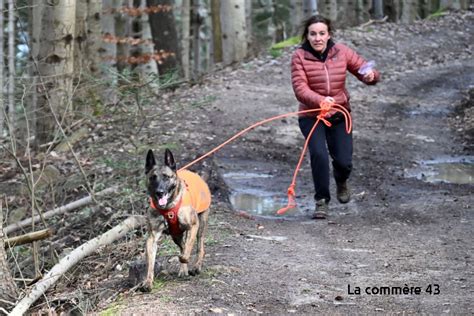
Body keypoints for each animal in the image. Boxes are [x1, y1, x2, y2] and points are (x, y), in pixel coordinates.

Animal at [142, 148, 212, 292]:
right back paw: (183, 270)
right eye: (153, 178)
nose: (159, 192)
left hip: (201, 226)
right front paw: (148, 282)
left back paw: (196, 266)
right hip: (176, 236)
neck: (168, 207)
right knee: (183, 245)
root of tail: (200, 177)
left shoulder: (193, 226)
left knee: (199, 247)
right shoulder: (152, 237)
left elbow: (187, 251)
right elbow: (150, 262)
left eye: (166, 177)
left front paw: (184, 259)